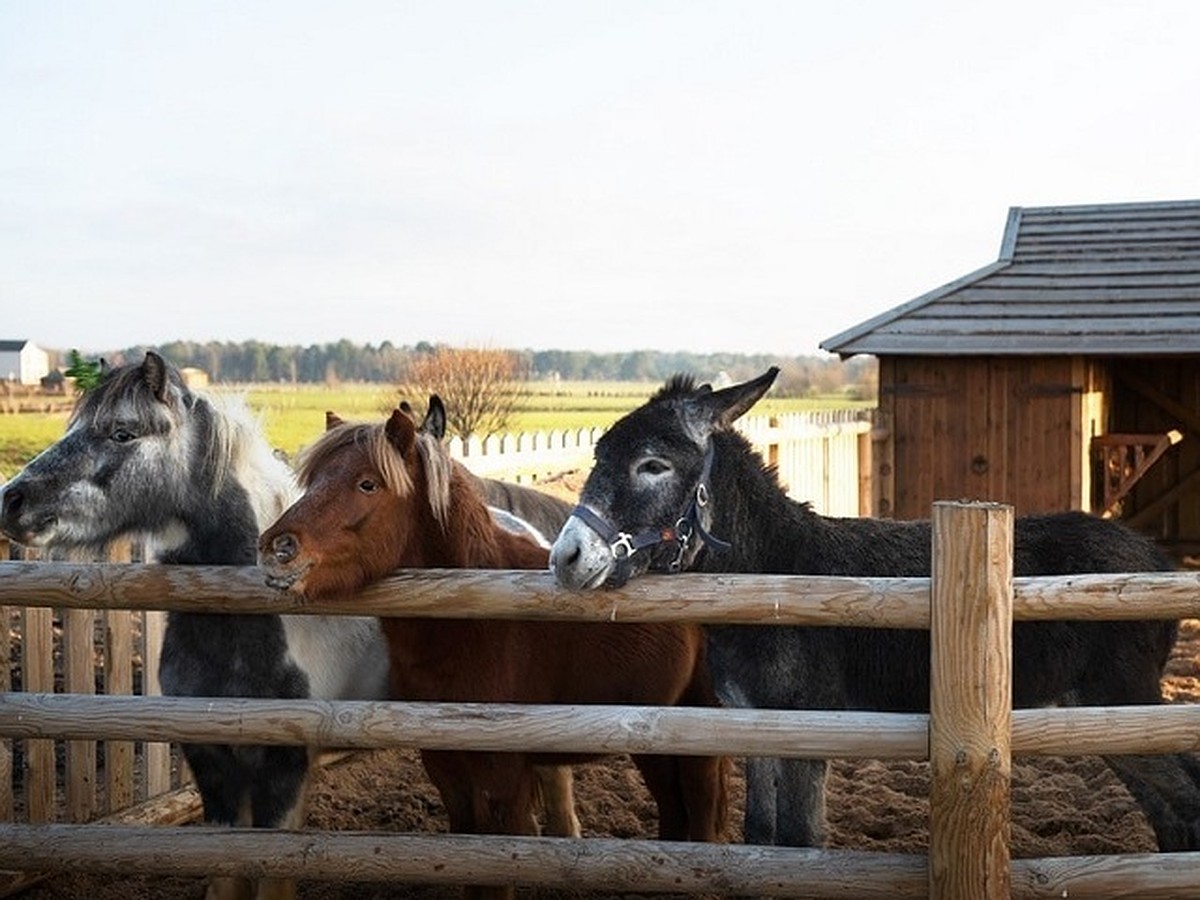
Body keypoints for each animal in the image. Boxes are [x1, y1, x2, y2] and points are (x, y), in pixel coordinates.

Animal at [260, 400, 729, 900]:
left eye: (368, 483)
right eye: (312, 482)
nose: (276, 549)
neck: (474, 625)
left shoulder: (505, 779)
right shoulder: (448, 773)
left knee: (700, 805)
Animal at [549, 364, 1200, 854]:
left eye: (653, 465)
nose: (565, 557)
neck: (773, 570)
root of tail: (1155, 559)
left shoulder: (808, 725)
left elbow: (799, 840)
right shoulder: (754, 723)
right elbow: (762, 835)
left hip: (1119, 696)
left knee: (1185, 797)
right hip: (1097, 712)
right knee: (1171, 811)